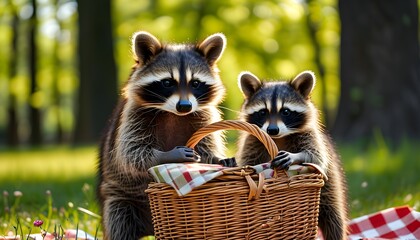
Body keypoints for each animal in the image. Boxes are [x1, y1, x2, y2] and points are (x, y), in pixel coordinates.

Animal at [97, 31, 230, 240]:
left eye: (195, 83)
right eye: (167, 82)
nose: (185, 106)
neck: (173, 114)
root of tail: (152, 229)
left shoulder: (204, 114)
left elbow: (206, 144)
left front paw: (217, 158)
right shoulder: (132, 115)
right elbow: (131, 152)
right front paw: (167, 155)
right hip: (119, 196)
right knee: (119, 221)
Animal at [236, 71, 348, 240]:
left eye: (286, 111)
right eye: (263, 112)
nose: (272, 130)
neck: (278, 138)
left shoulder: (310, 135)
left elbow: (317, 156)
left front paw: (296, 156)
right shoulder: (253, 141)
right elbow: (248, 160)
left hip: (330, 185)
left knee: (333, 217)